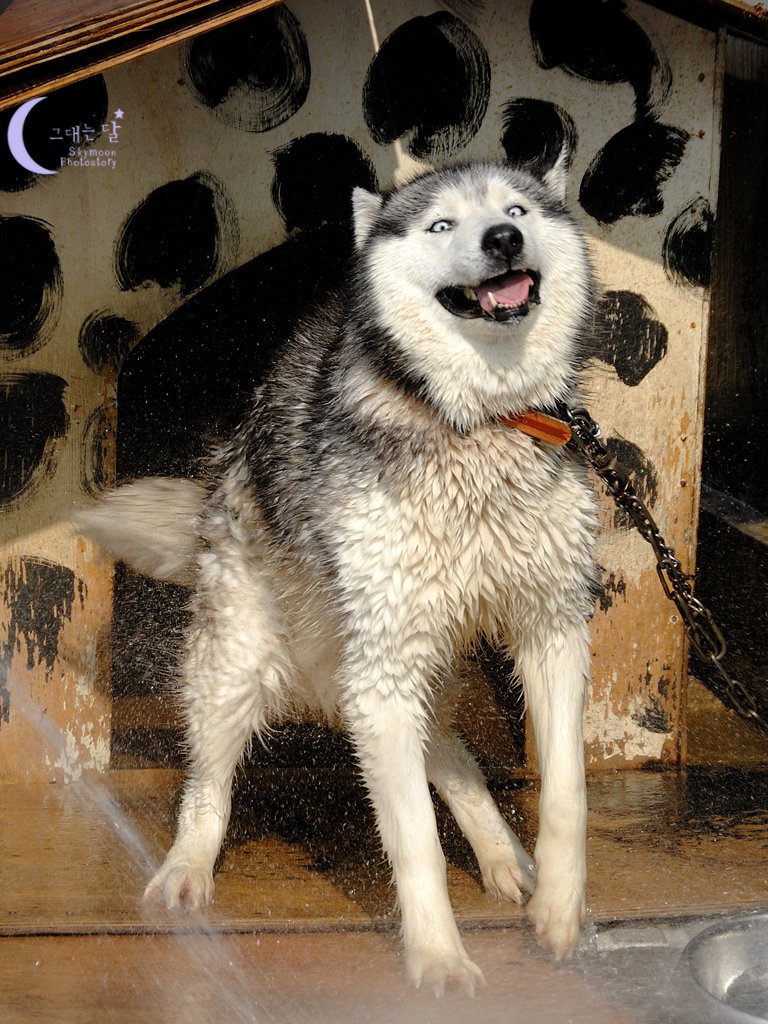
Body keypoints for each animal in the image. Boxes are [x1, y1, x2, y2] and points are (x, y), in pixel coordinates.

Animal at [80, 159, 598, 995]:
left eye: (517, 209)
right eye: (442, 224)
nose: (503, 239)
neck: (473, 421)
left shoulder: (554, 628)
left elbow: (566, 792)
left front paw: (559, 907)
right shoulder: (381, 673)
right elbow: (414, 840)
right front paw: (439, 961)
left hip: (397, 667)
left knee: (450, 755)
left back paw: (504, 859)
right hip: (244, 671)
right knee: (207, 786)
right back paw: (186, 870)